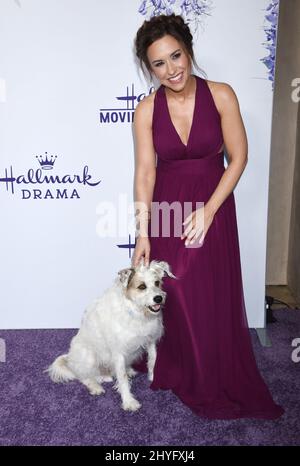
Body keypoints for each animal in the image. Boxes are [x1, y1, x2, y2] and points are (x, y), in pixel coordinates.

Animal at [46, 258, 177, 412]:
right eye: (142, 286)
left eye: (157, 283)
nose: (158, 298)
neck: (136, 312)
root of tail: (70, 359)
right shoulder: (118, 352)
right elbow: (122, 378)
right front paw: (128, 401)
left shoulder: (150, 340)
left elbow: (152, 360)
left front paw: (153, 377)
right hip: (89, 357)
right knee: (83, 376)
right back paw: (96, 386)